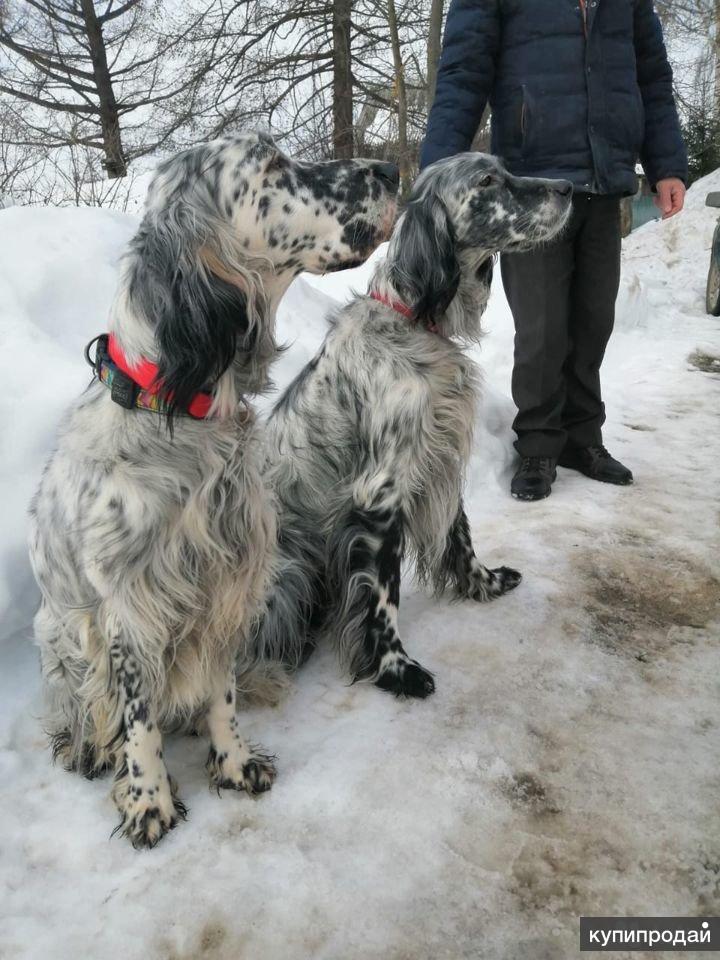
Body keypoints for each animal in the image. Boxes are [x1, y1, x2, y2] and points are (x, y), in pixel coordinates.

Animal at [28, 133, 400, 848]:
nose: (391, 169)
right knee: (88, 709)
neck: (178, 408)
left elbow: (221, 691)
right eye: (273, 166)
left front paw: (232, 762)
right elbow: (139, 719)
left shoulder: (228, 584)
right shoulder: (131, 609)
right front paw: (149, 800)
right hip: (59, 635)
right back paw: (88, 749)